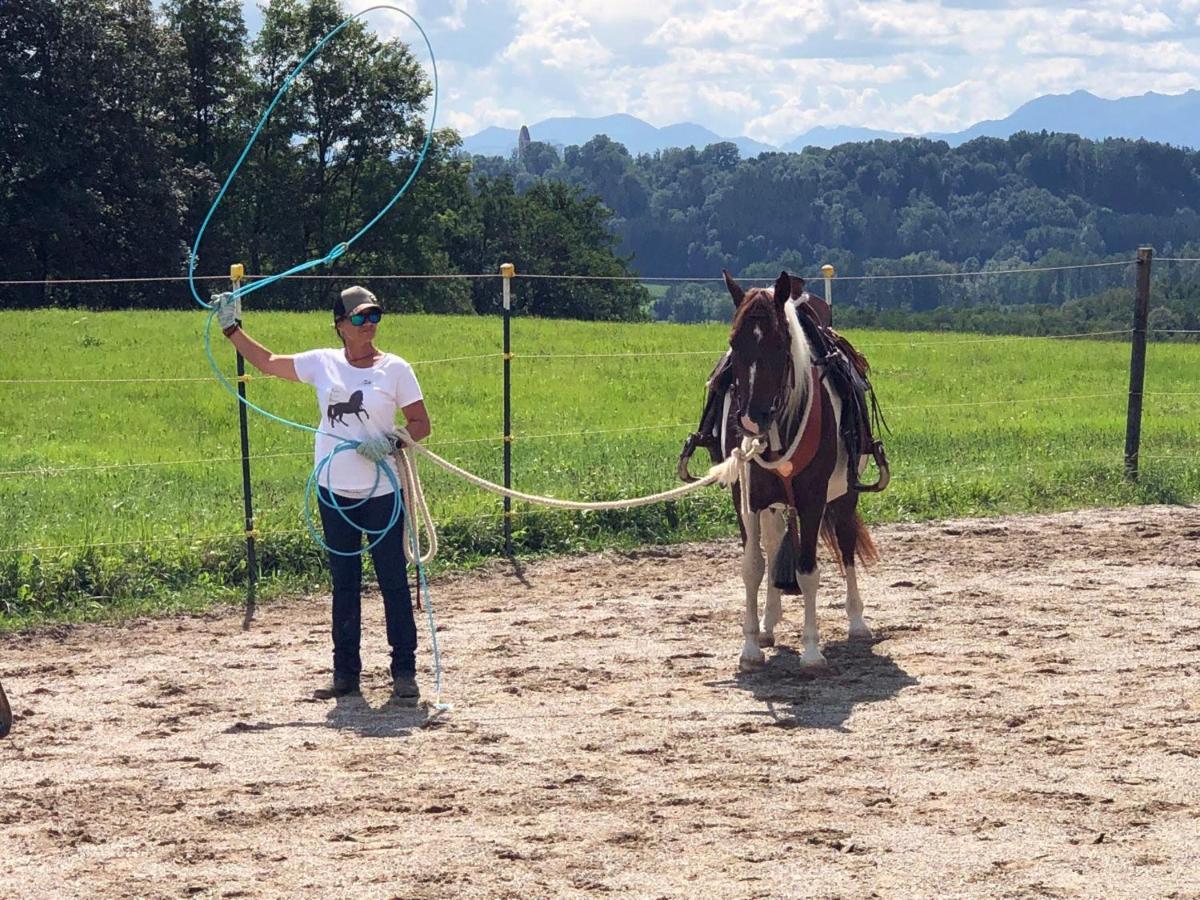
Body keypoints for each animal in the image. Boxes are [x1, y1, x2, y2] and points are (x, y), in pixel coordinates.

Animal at [705, 271, 888, 672]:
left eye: (780, 343)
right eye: (734, 343)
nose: (750, 419)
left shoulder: (812, 498)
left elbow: (807, 571)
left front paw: (811, 651)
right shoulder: (748, 499)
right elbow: (753, 567)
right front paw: (751, 646)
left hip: (844, 495)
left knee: (846, 546)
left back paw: (856, 621)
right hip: (773, 503)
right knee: (775, 546)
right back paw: (768, 624)